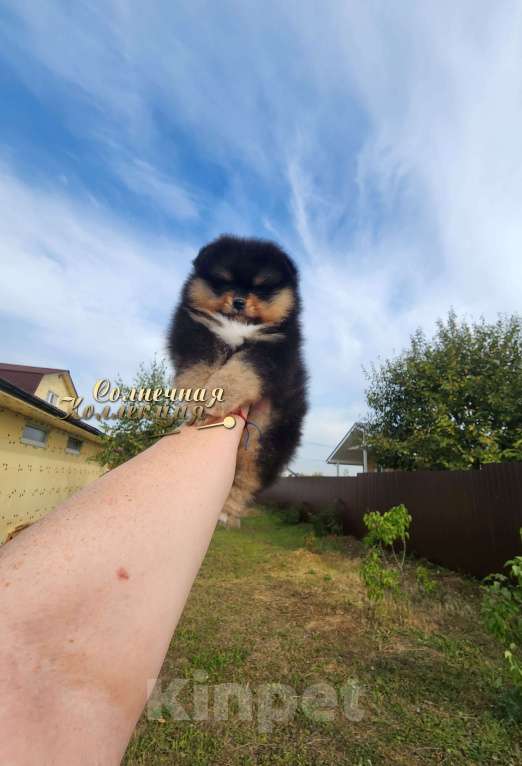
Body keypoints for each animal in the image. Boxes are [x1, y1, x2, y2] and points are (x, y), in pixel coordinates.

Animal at [167, 232, 306, 528]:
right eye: (224, 282)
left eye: (261, 288)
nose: (239, 301)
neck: (238, 324)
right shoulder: (196, 329)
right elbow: (198, 364)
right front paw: (197, 398)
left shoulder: (273, 350)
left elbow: (241, 369)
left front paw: (216, 395)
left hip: (266, 439)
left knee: (247, 476)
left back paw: (228, 511)